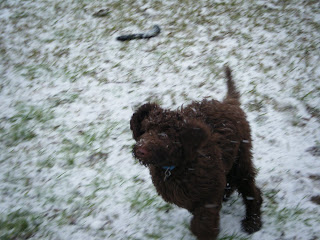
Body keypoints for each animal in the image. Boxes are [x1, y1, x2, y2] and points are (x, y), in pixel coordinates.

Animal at [130, 67, 262, 240]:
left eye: (165, 134)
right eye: (145, 129)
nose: (140, 149)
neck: (176, 167)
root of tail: (229, 104)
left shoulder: (207, 197)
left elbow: (203, 223)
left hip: (241, 157)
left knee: (251, 189)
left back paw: (252, 221)